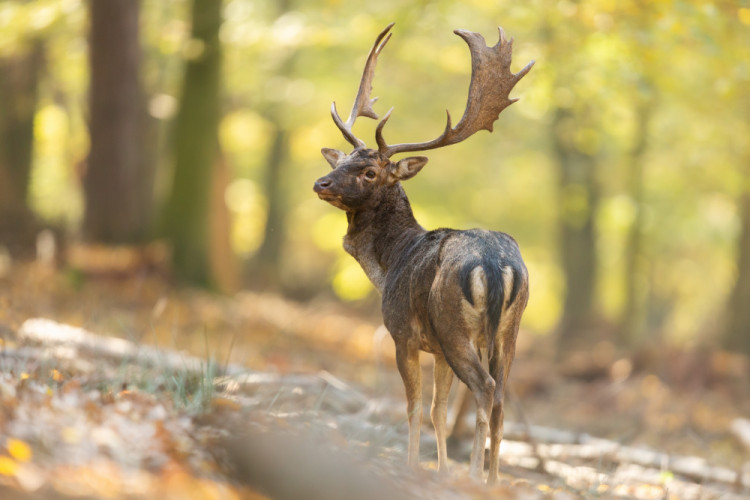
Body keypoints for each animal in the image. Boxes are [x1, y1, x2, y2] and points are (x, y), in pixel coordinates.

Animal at [312, 24, 536, 484]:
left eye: (370, 171)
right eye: (341, 159)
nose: (320, 183)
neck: (389, 262)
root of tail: (494, 264)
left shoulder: (404, 334)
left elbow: (414, 408)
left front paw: (413, 466)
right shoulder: (438, 350)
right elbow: (438, 410)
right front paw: (439, 470)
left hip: (454, 325)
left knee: (486, 389)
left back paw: (474, 476)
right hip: (509, 331)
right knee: (501, 398)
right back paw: (492, 482)